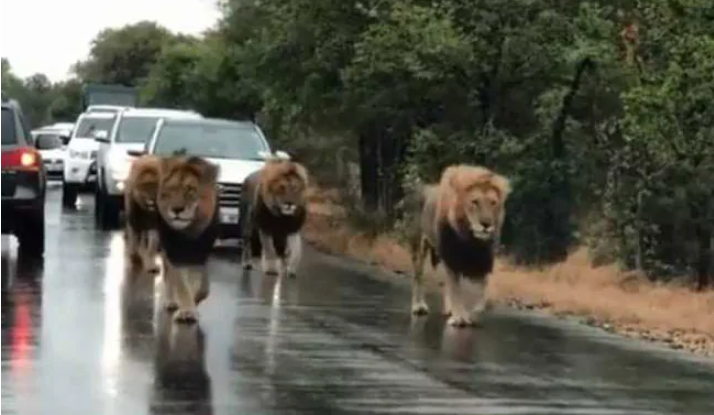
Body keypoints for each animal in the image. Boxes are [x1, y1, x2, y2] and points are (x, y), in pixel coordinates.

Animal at [156, 154, 220, 324]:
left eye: (190, 190)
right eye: (171, 190)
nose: (177, 209)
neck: (189, 231)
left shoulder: (200, 254)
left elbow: (202, 286)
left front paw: (194, 302)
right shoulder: (173, 254)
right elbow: (180, 283)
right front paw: (186, 310)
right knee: (168, 276)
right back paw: (171, 301)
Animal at [404, 165, 508, 328]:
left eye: (493, 202)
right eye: (475, 202)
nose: (486, 224)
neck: (471, 239)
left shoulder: (483, 262)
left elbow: (484, 295)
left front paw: (472, 314)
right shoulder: (452, 257)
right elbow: (456, 289)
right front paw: (459, 317)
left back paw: (448, 310)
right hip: (419, 246)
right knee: (418, 276)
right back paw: (418, 306)